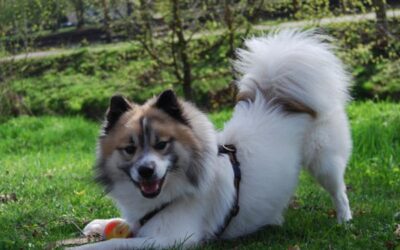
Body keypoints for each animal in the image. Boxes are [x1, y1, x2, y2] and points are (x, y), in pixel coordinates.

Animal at [76, 29, 352, 250]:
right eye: (129, 149)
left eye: (162, 144)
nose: (146, 171)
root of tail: (276, 97)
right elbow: (124, 227)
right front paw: (98, 224)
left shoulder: (172, 238)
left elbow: (113, 244)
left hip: (323, 161)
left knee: (339, 191)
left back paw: (344, 221)